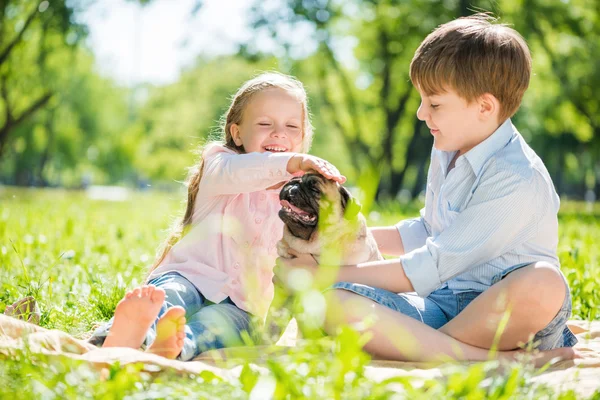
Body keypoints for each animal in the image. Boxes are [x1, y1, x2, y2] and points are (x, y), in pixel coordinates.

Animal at [264, 173, 382, 342]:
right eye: (295, 180)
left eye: (315, 189)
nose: (293, 184)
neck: (310, 246)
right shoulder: (282, 298)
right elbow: (269, 331)